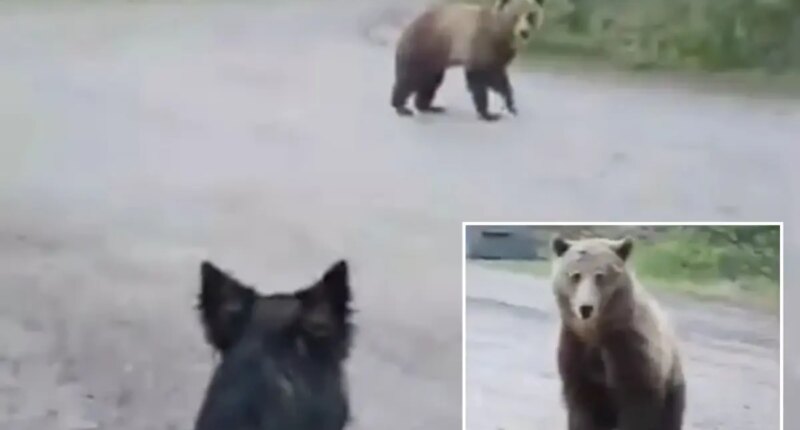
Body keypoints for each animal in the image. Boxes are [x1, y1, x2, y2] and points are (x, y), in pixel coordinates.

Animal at [391, 0, 545, 121]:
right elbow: (479, 78)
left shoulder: (499, 54)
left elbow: (499, 79)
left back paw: (429, 107)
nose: (524, 32)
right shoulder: (480, 43)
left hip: (435, 59)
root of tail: (408, 27)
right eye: (515, 16)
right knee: (411, 78)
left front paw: (511, 105)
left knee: (430, 82)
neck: (500, 34)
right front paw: (489, 114)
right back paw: (401, 107)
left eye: (531, 15)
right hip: (423, 48)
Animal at [550, 236, 686, 430]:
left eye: (600, 275)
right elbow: (581, 404)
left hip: (672, 384)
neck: (596, 332)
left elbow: (636, 404)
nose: (586, 308)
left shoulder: (628, 346)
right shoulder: (576, 347)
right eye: (575, 275)